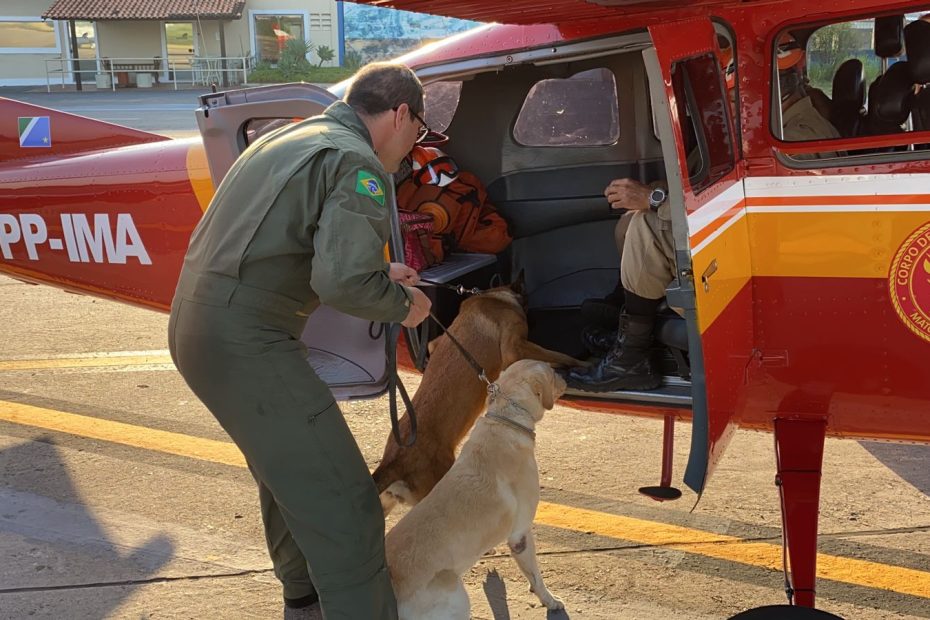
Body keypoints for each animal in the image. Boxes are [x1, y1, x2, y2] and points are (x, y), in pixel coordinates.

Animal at [384, 358, 564, 620]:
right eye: (552, 372)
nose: (565, 376)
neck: (505, 419)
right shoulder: (520, 535)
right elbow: (536, 576)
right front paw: (549, 600)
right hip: (457, 597)